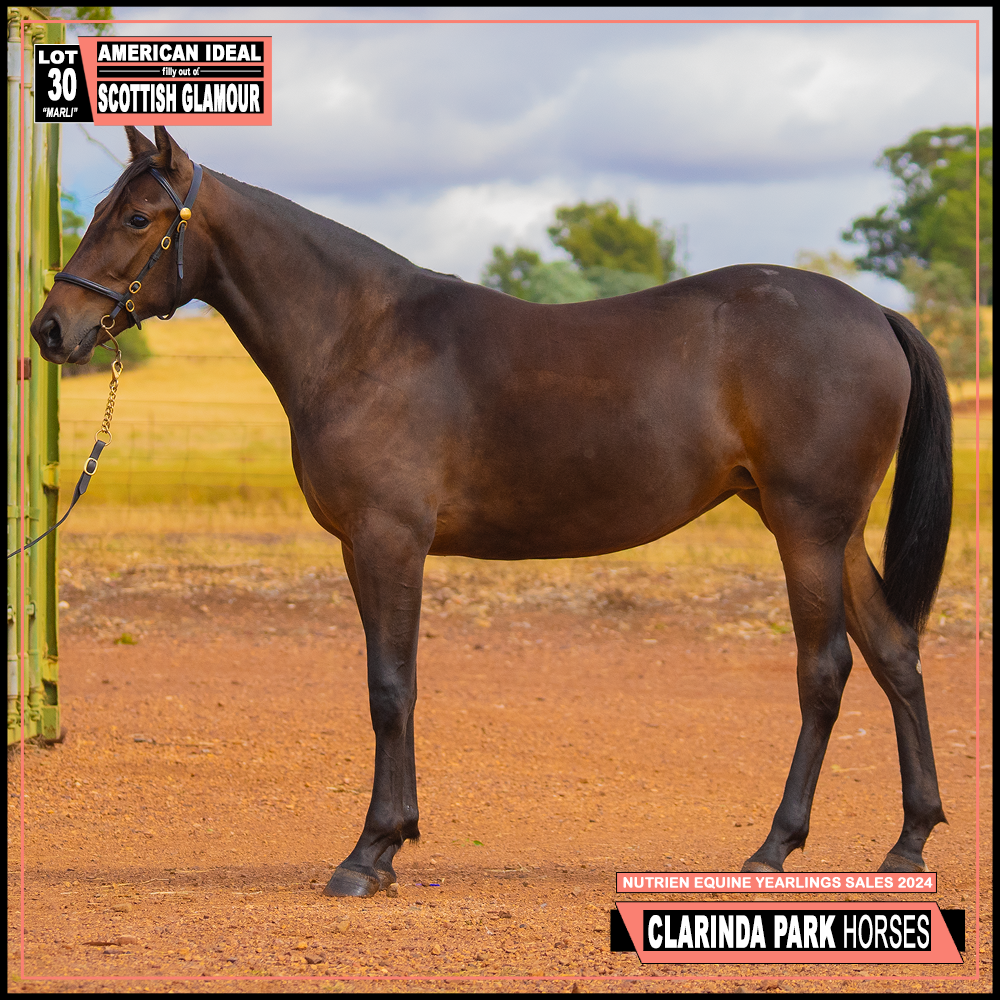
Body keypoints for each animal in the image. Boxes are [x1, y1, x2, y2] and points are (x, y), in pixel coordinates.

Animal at [31, 126, 952, 896]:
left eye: (138, 217)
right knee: (895, 654)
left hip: (806, 527)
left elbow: (391, 686)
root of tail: (875, 311)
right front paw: (390, 844)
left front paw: (371, 852)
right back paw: (908, 842)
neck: (362, 337)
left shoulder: (388, 541)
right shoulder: (365, 547)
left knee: (825, 670)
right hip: (834, 533)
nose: (50, 329)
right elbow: (393, 685)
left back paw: (774, 845)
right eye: (102, 210)